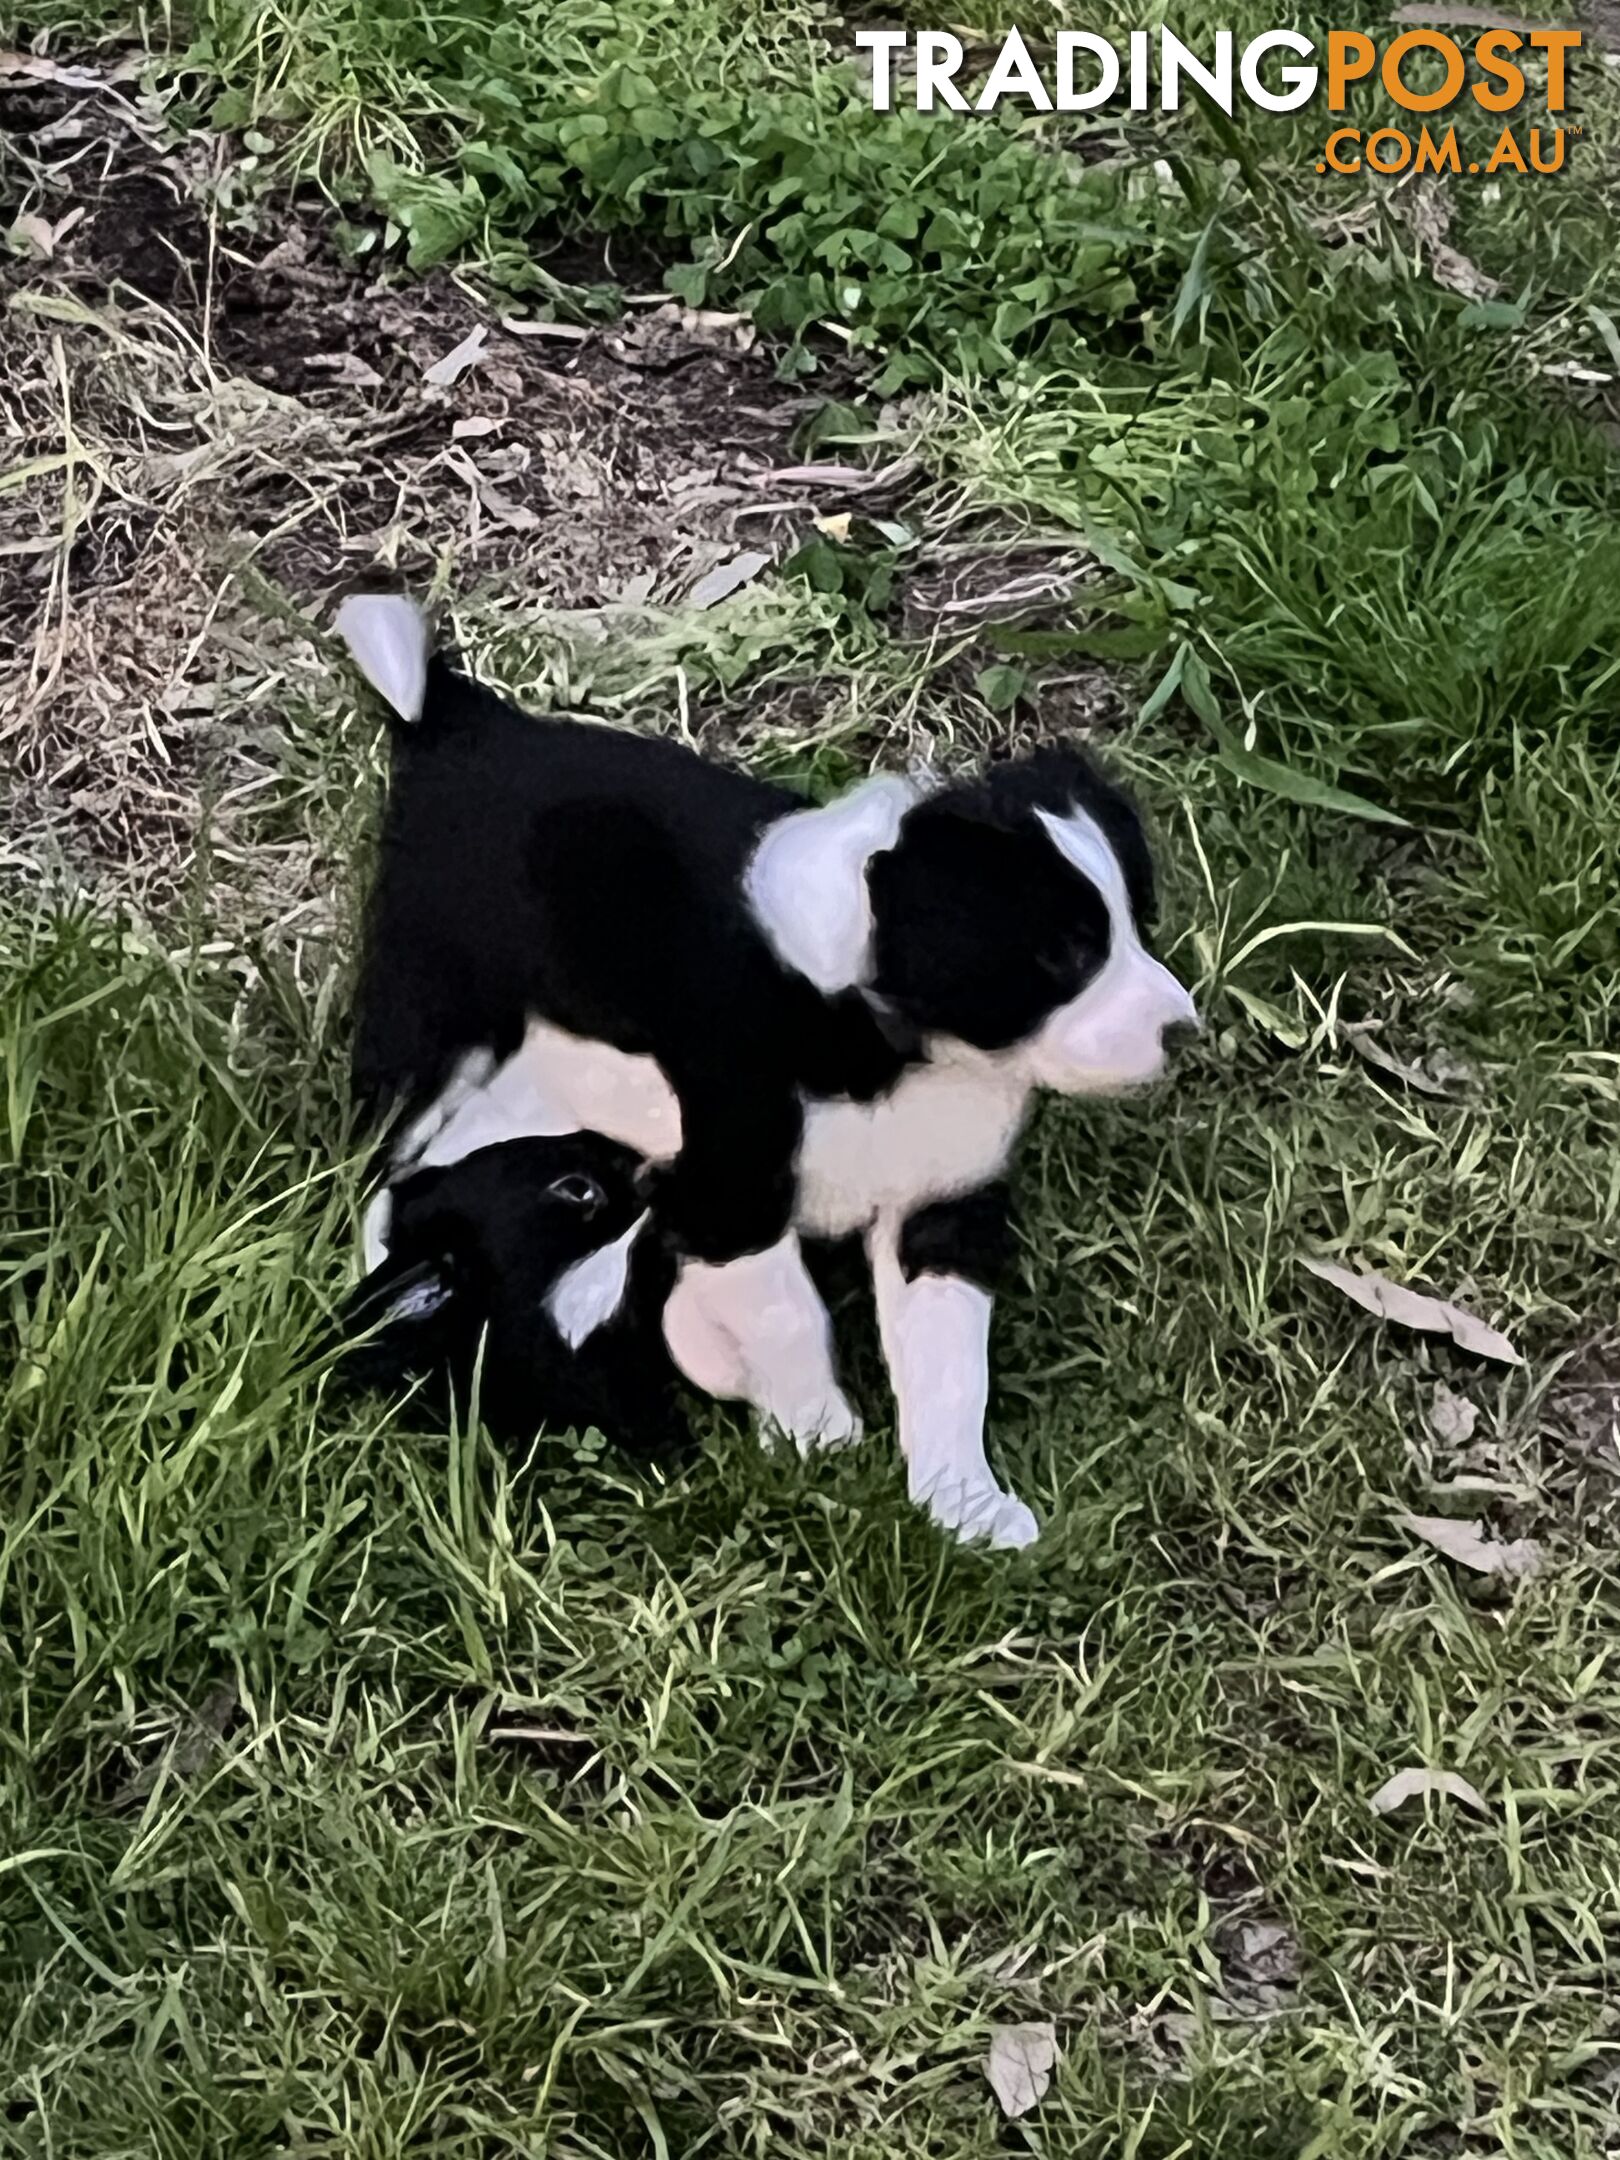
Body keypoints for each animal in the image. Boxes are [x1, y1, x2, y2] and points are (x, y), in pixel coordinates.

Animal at [336, 591, 1192, 1546]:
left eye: (1137, 925)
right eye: (1065, 954)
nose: (1183, 1033)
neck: (875, 1036)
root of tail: (452, 719)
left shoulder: (940, 1200)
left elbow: (948, 1358)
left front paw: (962, 1504)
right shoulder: (730, 1190)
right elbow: (785, 1316)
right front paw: (820, 1441)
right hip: (429, 1019)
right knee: (392, 1152)